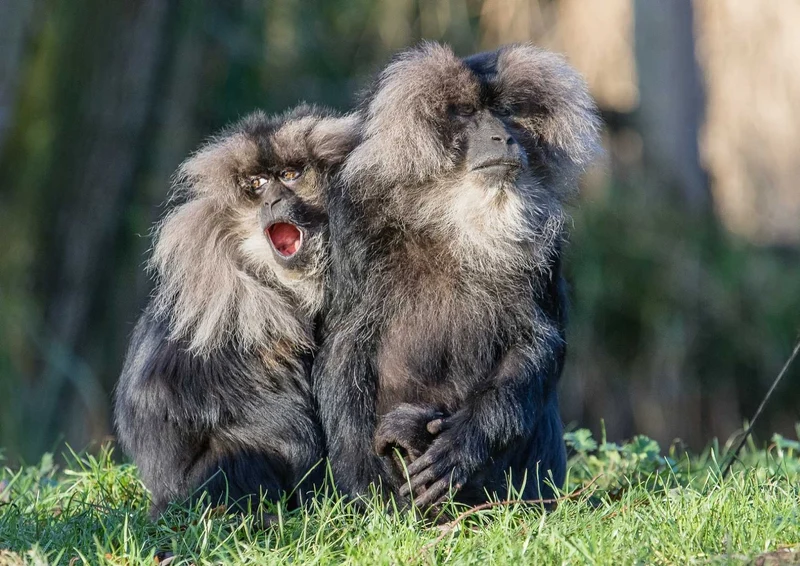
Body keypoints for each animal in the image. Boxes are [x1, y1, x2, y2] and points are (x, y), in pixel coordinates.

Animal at [312, 43, 600, 510]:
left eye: (505, 112)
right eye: (465, 112)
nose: (503, 137)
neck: (452, 218)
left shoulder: (546, 239)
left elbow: (538, 342)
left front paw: (464, 444)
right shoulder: (354, 221)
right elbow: (343, 346)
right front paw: (366, 487)